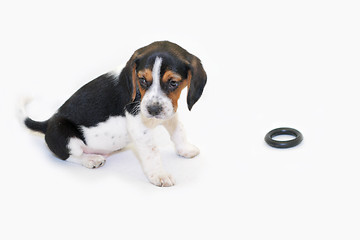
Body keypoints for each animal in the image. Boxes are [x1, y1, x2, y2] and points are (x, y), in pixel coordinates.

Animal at [21, 40, 208, 188]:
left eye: (173, 82)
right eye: (142, 80)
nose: (153, 110)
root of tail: (48, 122)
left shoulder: (170, 112)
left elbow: (179, 130)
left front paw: (185, 149)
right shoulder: (140, 127)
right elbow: (152, 153)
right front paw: (159, 175)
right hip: (63, 132)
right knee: (69, 156)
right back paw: (90, 160)